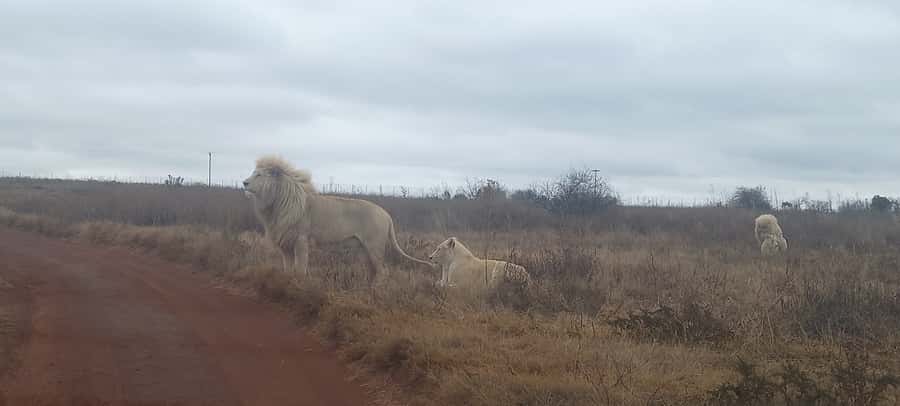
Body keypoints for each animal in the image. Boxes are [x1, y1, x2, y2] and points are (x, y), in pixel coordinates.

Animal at [242, 156, 434, 282]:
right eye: (253, 173)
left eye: (259, 175)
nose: (244, 182)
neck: (275, 204)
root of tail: (386, 215)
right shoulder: (285, 243)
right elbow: (287, 269)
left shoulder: (301, 240)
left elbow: (300, 269)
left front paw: (299, 284)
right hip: (364, 249)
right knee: (372, 271)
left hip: (375, 246)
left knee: (383, 272)